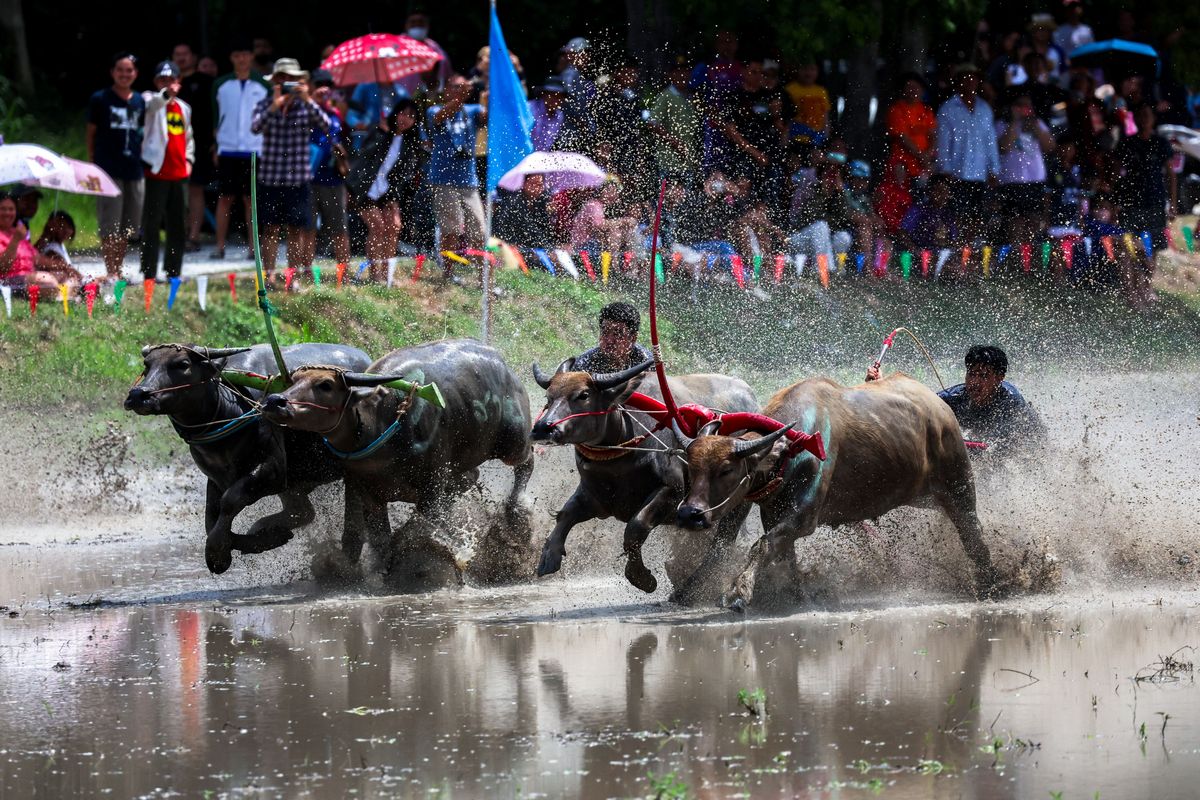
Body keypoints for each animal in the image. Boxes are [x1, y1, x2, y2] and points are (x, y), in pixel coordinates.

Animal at [123, 345, 369, 575]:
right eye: (147, 365)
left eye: (182, 364)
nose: (138, 395)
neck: (227, 412)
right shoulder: (216, 478)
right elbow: (210, 518)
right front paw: (265, 539)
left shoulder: (272, 470)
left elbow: (230, 501)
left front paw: (217, 552)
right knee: (303, 512)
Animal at [261, 338, 535, 587]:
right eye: (294, 381)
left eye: (325, 385)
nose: (275, 401)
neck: (381, 423)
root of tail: (502, 364)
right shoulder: (365, 491)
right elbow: (377, 538)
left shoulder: (432, 483)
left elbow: (422, 529)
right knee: (471, 478)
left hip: (514, 441)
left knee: (526, 461)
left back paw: (517, 514)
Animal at [530, 359, 753, 604]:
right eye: (549, 397)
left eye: (583, 395)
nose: (543, 427)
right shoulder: (594, 498)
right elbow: (566, 514)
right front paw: (548, 557)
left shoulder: (671, 491)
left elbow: (635, 527)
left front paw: (642, 578)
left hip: (739, 505)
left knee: (721, 545)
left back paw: (690, 589)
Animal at [676, 371, 1003, 609]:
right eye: (690, 467)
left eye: (726, 470)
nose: (689, 514)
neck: (791, 449)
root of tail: (941, 408)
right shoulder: (774, 513)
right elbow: (782, 554)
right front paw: (794, 594)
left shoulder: (805, 517)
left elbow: (762, 545)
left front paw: (739, 592)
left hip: (958, 485)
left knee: (972, 532)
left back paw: (991, 584)